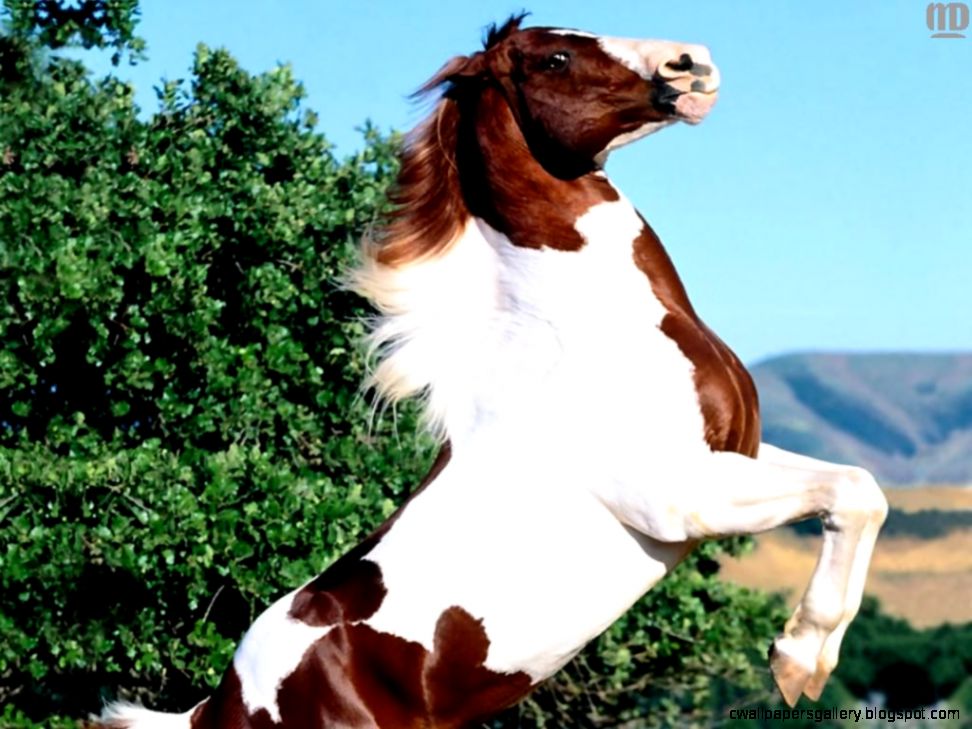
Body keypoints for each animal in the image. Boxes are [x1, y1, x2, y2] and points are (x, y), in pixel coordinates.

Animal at [95, 15, 888, 729]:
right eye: (555, 57)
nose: (692, 63)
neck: (588, 334)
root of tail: (216, 707)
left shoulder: (734, 454)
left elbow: (862, 491)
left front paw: (806, 658)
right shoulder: (683, 496)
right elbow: (851, 494)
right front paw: (798, 661)